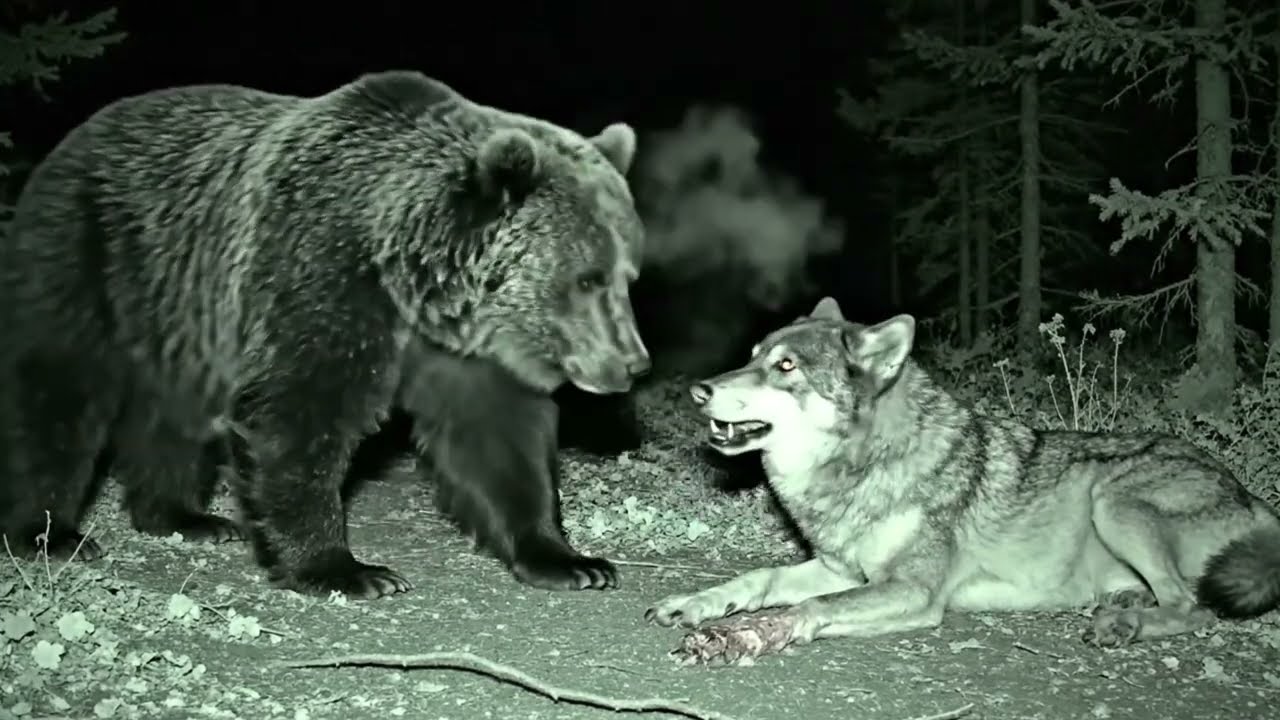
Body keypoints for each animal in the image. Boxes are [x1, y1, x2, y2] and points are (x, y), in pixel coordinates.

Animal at [0, 70, 651, 599]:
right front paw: (346, 569)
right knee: (56, 394)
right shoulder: (320, 270)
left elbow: (500, 439)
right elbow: (296, 410)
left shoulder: (467, 351)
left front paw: (570, 560)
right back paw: (49, 533)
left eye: (629, 276)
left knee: (171, 414)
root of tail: (75, 137)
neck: (412, 285)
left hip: (178, 315)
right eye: (586, 278)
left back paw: (186, 516)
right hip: (88, 256)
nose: (634, 363)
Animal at [644, 296, 1280, 665]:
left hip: (1114, 501)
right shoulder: (837, 567)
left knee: (1193, 607)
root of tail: (1252, 495)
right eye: (752, 356)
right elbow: (759, 578)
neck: (869, 462)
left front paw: (745, 635)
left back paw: (1124, 623)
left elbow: (811, 606)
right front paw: (699, 603)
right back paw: (1122, 606)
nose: (698, 390)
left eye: (785, 367)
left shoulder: (912, 591)